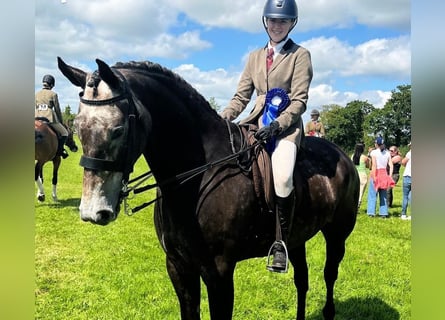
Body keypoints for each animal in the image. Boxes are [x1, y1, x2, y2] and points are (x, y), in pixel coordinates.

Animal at [58, 57, 358, 320]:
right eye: (78, 128)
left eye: (118, 129)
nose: (93, 212)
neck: (196, 178)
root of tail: (344, 157)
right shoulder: (178, 266)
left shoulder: (219, 271)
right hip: (296, 239)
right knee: (302, 281)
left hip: (337, 235)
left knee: (329, 275)